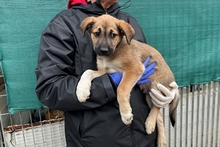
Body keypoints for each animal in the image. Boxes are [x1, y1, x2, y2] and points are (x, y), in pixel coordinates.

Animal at [76, 14, 180, 146]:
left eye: (113, 35)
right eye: (97, 33)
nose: (103, 50)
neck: (114, 52)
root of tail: (172, 85)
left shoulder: (135, 68)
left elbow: (121, 89)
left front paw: (125, 114)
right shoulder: (105, 72)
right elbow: (87, 72)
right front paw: (81, 91)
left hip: (156, 87)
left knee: (158, 107)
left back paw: (150, 124)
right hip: (148, 95)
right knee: (160, 116)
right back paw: (160, 139)